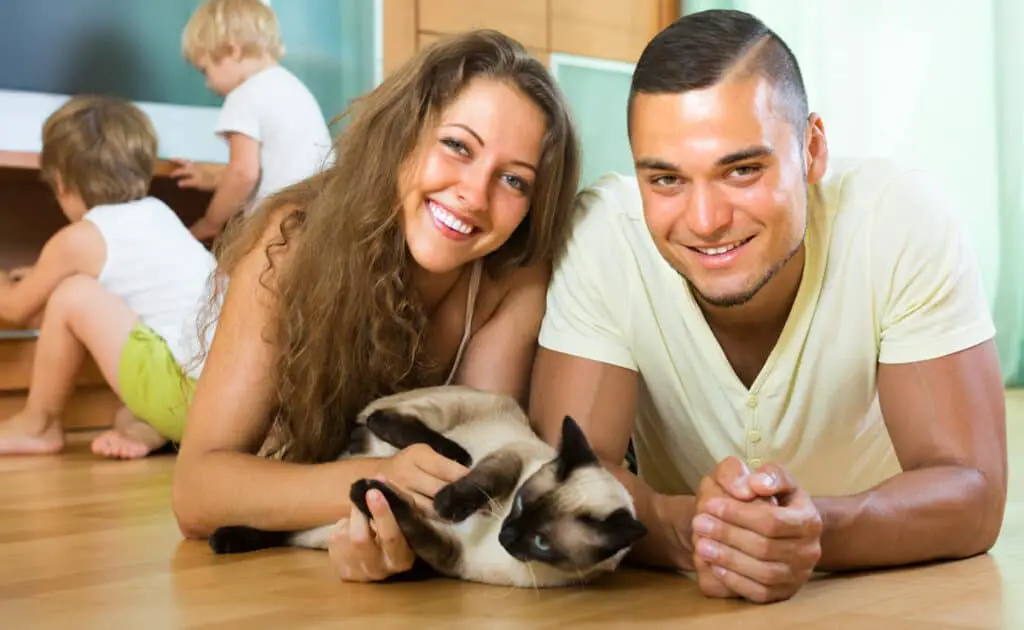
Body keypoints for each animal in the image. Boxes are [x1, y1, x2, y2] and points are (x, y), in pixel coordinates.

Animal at [207, 387, 647, 590]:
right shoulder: (513, 458)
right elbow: (483, 479)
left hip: (318, 532)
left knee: (286, 531)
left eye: (541, 542)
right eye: (521, 503)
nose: (506, 534)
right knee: (384, 419)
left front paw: (371, 491)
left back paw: (226, 539)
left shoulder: (448, 555)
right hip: (458, 406)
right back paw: (449, 451)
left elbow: (404, 517)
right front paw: (447, 500)